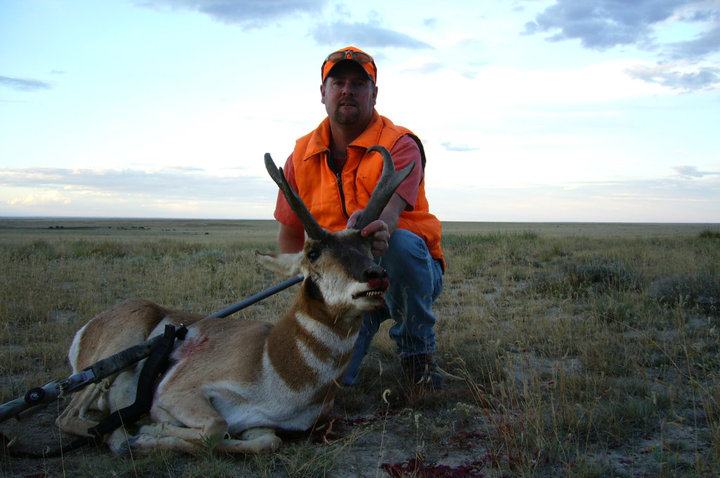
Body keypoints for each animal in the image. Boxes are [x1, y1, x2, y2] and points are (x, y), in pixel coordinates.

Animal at [55, 146, 414, 454]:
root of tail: (92, 323)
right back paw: (120, 435)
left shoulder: (261, 426)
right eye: (312, 252)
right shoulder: (177, 392)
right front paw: (146, 431)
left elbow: (264, 441)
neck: (272, 361)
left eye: (369, 247)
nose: (376, 275)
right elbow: (215, 427)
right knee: (69, 417)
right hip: (113, 355)